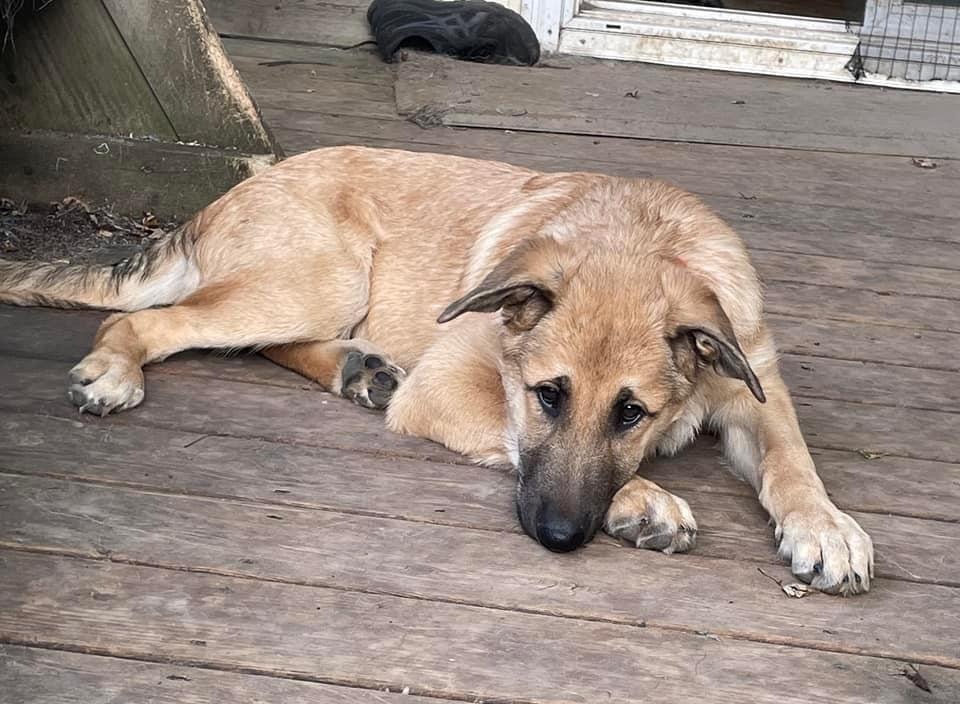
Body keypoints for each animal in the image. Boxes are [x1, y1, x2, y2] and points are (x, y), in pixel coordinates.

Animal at [0, 147, 872, 592]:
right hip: (323, 275)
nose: (559, 539)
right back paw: (117, 369)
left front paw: (825, 525)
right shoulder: (449, 387)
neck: (640, 239)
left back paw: (358, 367)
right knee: (150, 321)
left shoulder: (756, 384)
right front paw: (645, 499)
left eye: (632, 413)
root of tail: (221, 198)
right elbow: (521, 442)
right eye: (547, 395)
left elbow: (792, 458)